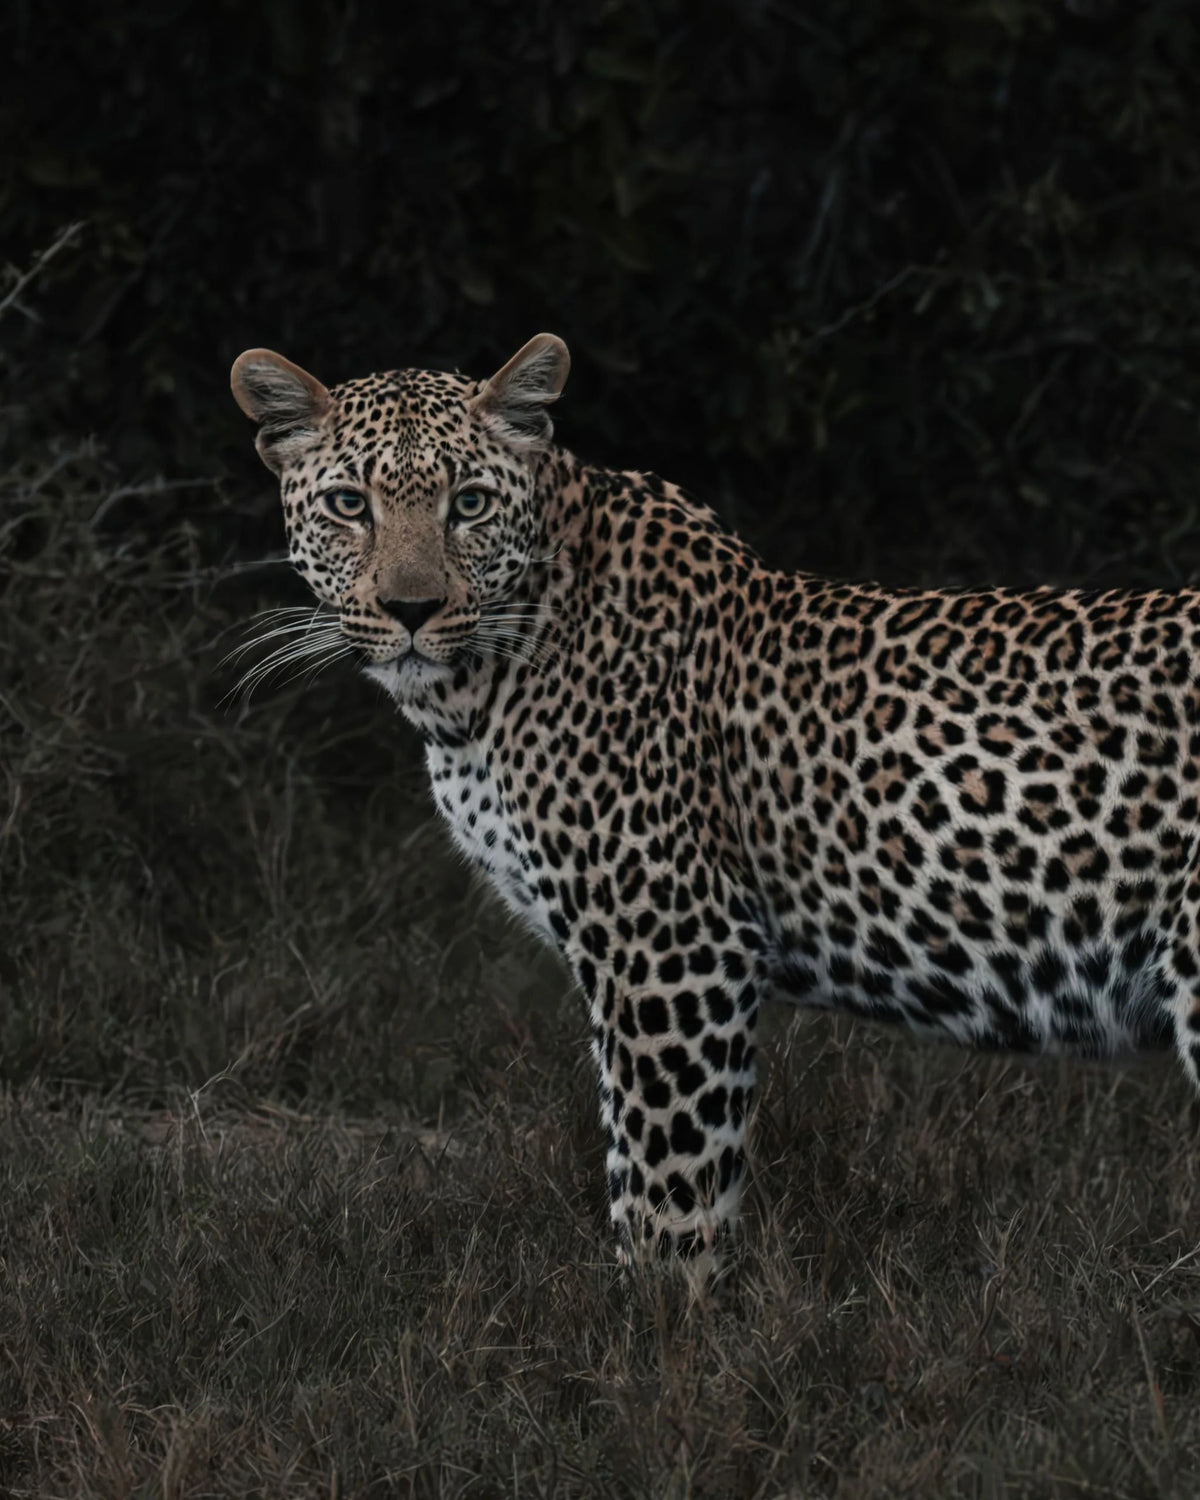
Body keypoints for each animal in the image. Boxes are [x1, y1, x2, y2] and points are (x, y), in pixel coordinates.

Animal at [231, 332, 1200, 1274]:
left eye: (468, 504)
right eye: (350, 504)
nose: (412, 609)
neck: (474, 692)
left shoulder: (671, 944)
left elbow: (666, 1183)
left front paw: (658, 1317)